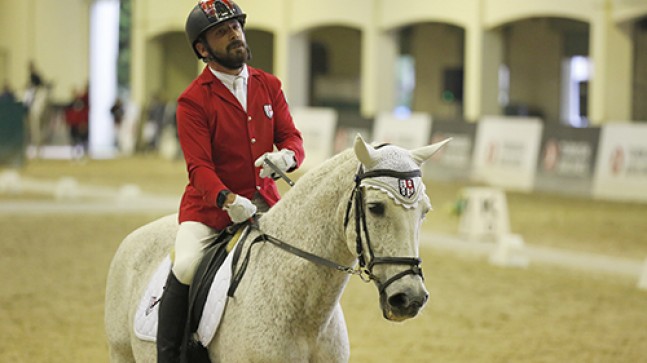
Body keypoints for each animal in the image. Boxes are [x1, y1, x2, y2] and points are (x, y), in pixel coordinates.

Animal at [106, 135, 450, 362]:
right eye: (376, 208)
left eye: (425, 212)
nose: (409, 299)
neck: (307, 318)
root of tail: (134, 237)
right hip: (121, 352)